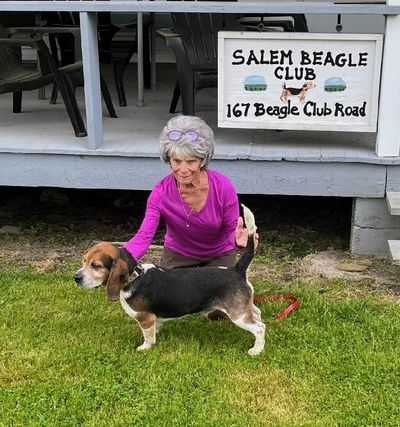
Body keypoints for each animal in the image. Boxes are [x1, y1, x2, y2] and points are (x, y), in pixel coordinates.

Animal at [74, 206, 266, 356]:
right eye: (83, 261)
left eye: (96, 266)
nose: (76, 278)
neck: (135, 277)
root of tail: (237, 269)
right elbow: (155, 328)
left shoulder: (144, 318)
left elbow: (148, 335)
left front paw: (145, 347)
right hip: (244, 309)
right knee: (257, 314)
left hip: (238, 315)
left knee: (260, 327)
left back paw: (256, 350)